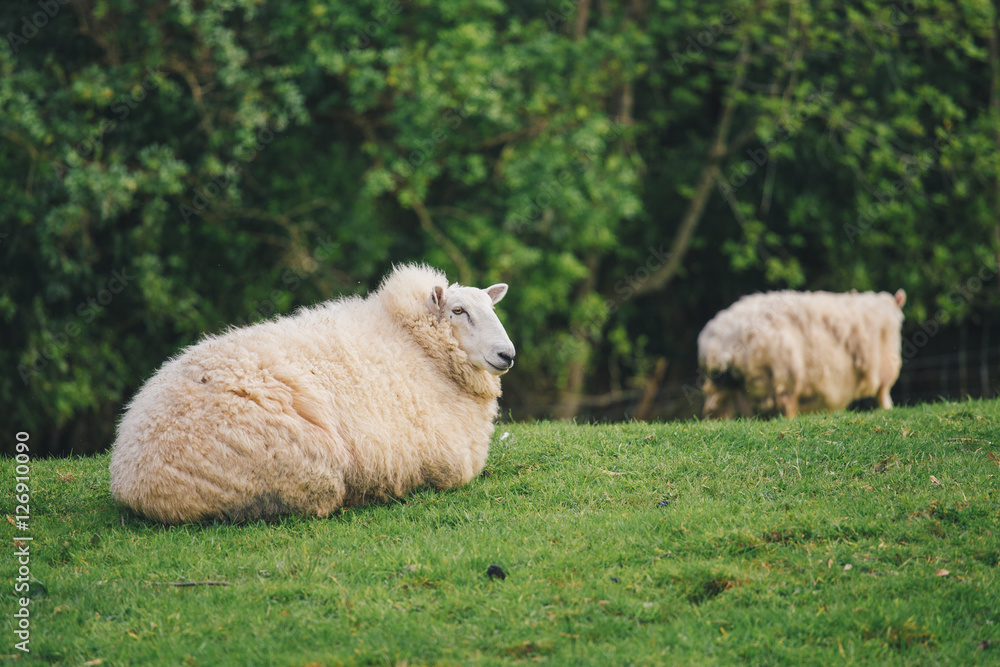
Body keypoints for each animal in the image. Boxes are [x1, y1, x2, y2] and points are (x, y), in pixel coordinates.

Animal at [109, 264, 516, 524]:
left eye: (492, 308)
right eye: (458, 310)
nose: (507, 354)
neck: (417, 345)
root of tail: (131, 477)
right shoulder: (449, 463)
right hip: (310, 467)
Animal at [698, 289, 906, 419]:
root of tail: (725, 338)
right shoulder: (885, 371)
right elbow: (884, 398)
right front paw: (888, 412)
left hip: (724, 388)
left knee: (716, 413)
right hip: (784, 377)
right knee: (787, 410)